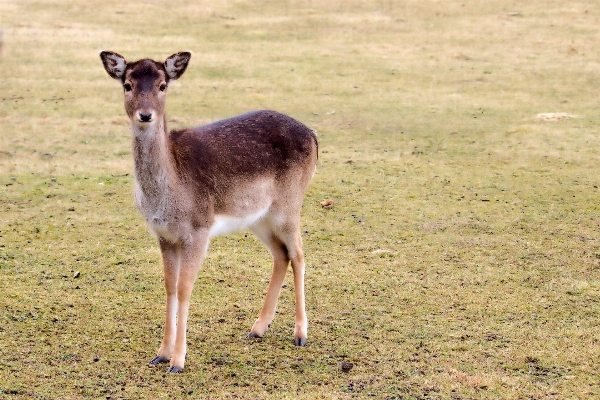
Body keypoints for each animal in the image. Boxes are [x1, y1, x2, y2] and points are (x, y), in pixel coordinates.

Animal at [99, 51, 318, 374]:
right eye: (127, 85)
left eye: (163, 85)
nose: (145, 115)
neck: (169, 193)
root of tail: (314, 136)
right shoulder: (164, 235)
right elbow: (169, 287)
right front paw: (160, 354)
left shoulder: (198, 230)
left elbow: (184, 288)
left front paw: (178, 361)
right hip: (258, 218)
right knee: (281, 255)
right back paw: (257, 328)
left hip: (289, 205)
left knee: (299, 254)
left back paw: (300, 334)